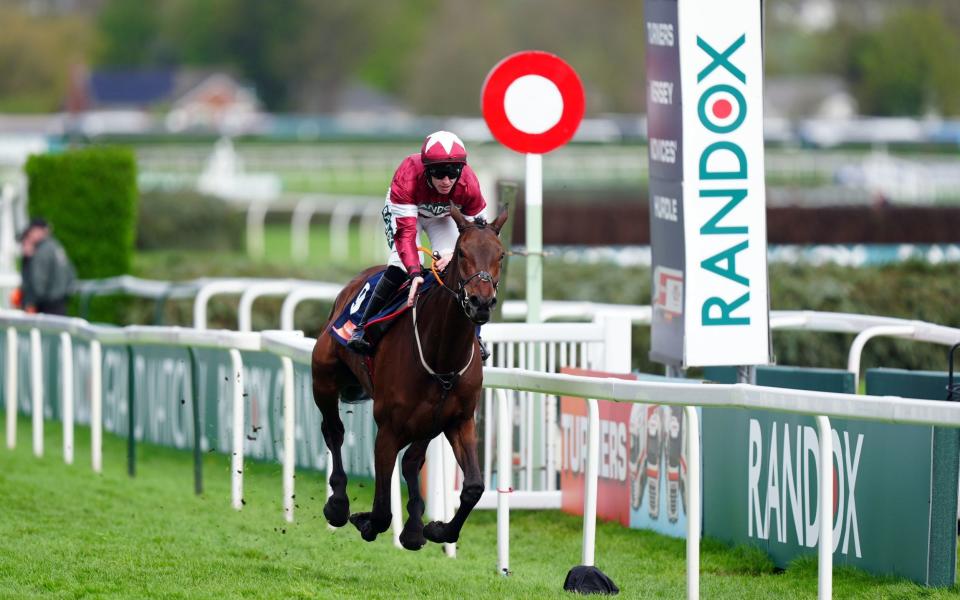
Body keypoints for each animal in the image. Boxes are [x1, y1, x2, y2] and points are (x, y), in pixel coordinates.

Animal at [314, 205, 510, 548]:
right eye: (462, 253)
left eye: (500, 255)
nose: (480, 302)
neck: (442, 353)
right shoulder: (388, 429)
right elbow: (381, 509)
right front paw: (365, 520)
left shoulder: (458, 419)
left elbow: (473, 487)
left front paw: (437, 529)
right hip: (323, 377)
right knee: (334, 432)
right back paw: (337, 505)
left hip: (428, 422)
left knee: (411, 461)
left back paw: (415, 527)